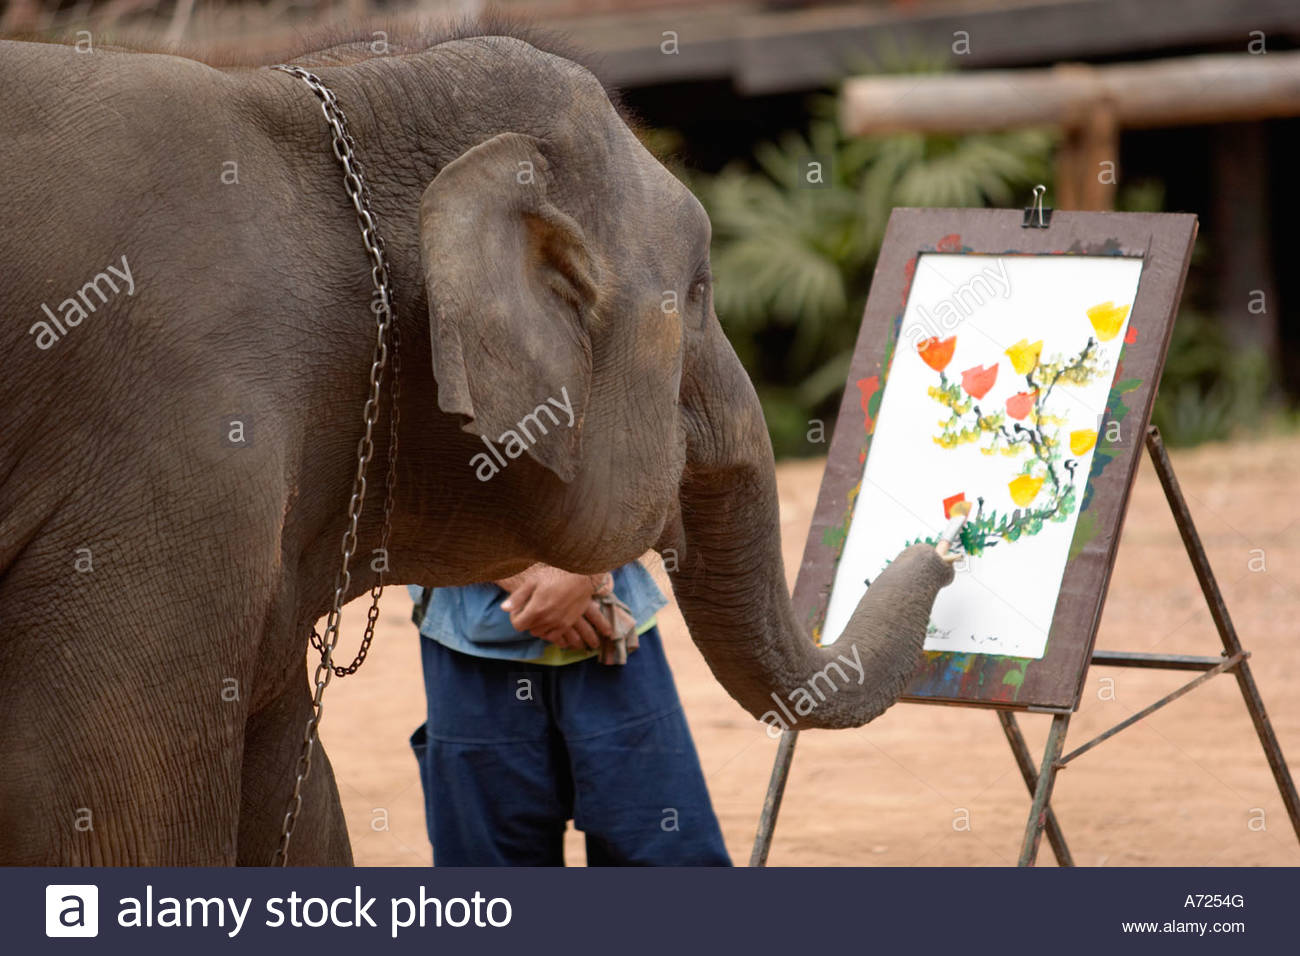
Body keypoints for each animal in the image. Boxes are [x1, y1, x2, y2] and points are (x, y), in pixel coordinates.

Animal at [0, 22, 955, 866]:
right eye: (699, 291)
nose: (941, 552)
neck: (337, 105)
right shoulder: (173, 472)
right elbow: (122, 827)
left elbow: (302, 809)